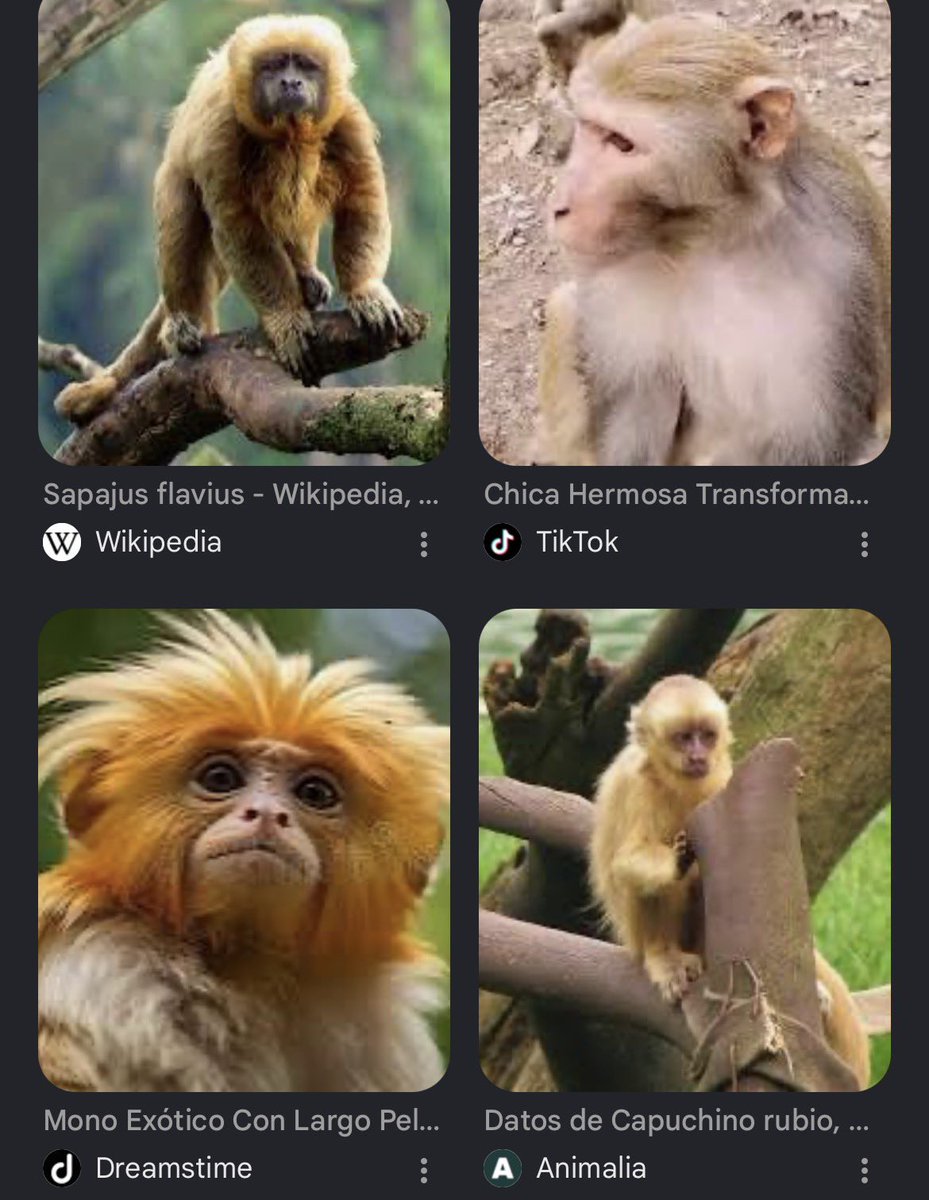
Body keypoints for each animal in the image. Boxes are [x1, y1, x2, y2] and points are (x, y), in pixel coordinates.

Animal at [55, 15, 402, 422]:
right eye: (274, 66)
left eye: (304, 66)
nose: (290, 83)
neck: (289, 133)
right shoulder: (223, 133)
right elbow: (238, 227)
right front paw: (284, 317)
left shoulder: (349, 120)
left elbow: (362, 203)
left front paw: (365, 290)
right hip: (173, 176)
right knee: (182, 218)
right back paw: (182, 325)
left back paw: (303, 272)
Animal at [537, 14, 891, 466]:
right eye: (588, 127)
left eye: (621, 143)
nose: (558, 207)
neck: (712, 240)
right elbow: (637, 407)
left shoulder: (836, 279)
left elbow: (811, 441)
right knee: (565, 303)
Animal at [589, 674, 871, 1089]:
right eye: (683, 738)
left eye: (706, 736)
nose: (697, 756)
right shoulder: (636, 784)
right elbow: (625, 864)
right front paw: (678, 861)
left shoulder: (720, 780)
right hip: (640, 938)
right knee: (661, 886)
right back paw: (664, 956)